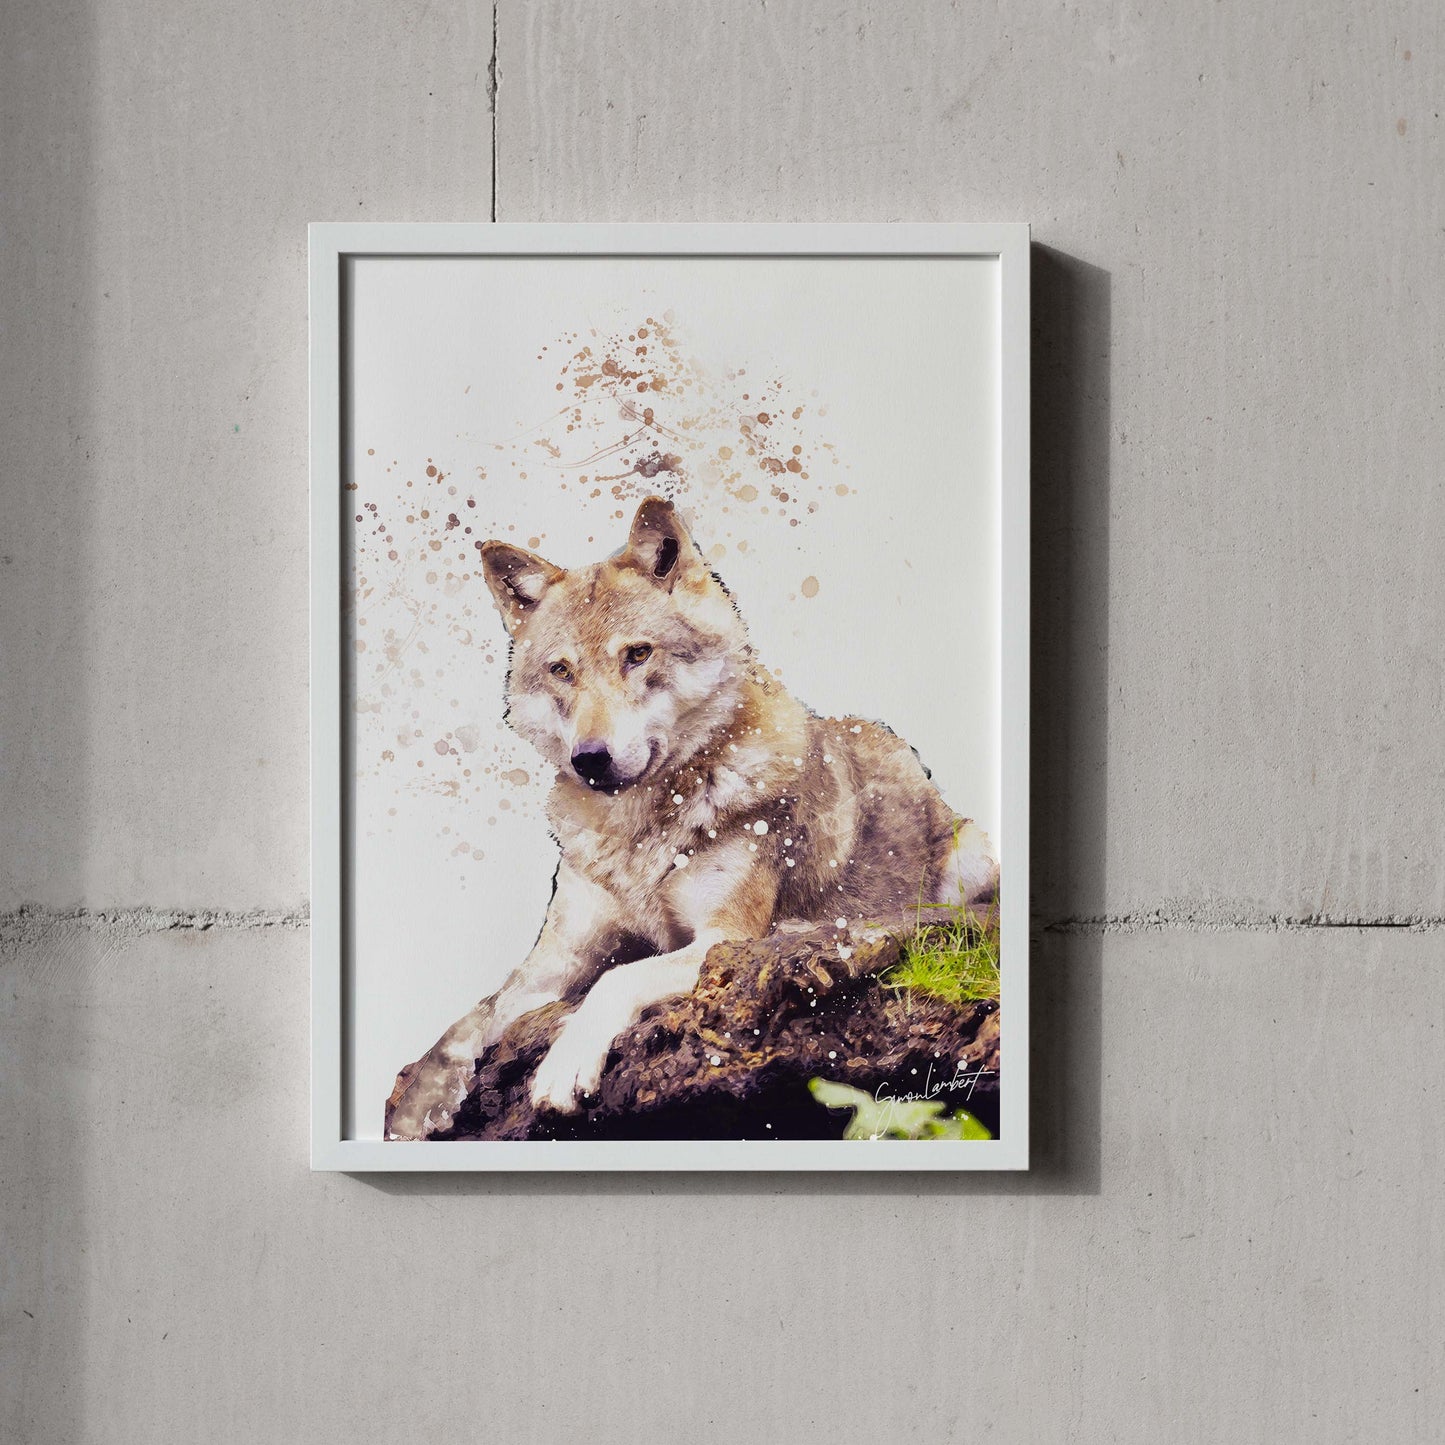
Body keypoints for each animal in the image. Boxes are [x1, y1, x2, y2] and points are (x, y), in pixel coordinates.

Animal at [385, 495, 998, 1139]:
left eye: (637, 654)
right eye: (562, 671)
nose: (589, 759)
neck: (635, 832)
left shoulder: (722, 939)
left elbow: (618, 977)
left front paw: (564, 1066)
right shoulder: (554, 958)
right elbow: (468, 1023)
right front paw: (418, 1107)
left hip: (973, 857)